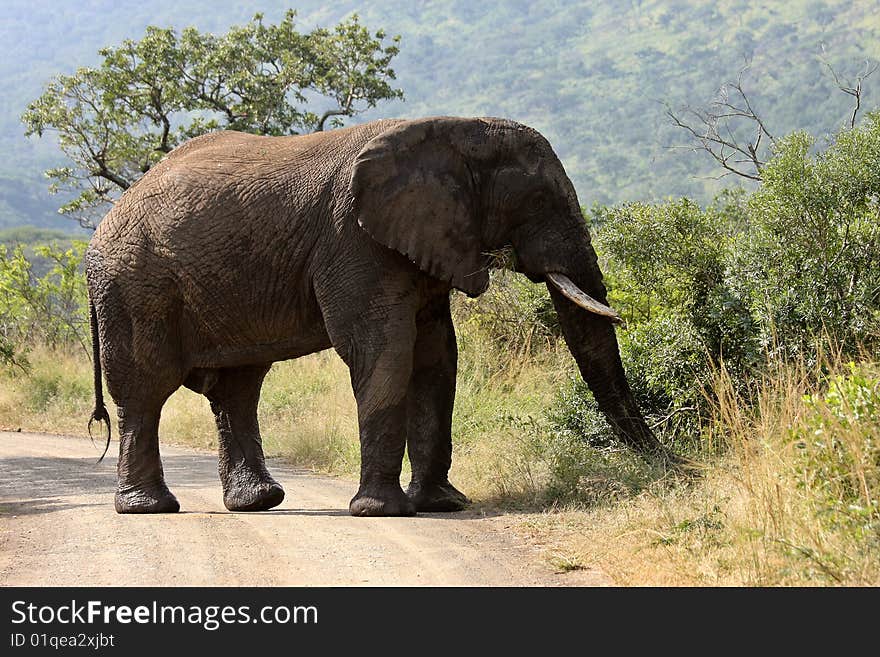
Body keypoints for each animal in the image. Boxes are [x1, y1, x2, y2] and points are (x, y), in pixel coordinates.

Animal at [87, 118, 668, 516]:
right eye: (541, 200)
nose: (668, 465)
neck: (456, 131)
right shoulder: (355, 240)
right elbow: (382, 349)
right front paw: (382, 512)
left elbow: (437, 357)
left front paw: (442, 505)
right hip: (132, 285)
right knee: (146, 388)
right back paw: (150, 508)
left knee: (236, 388)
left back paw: (259, 502)